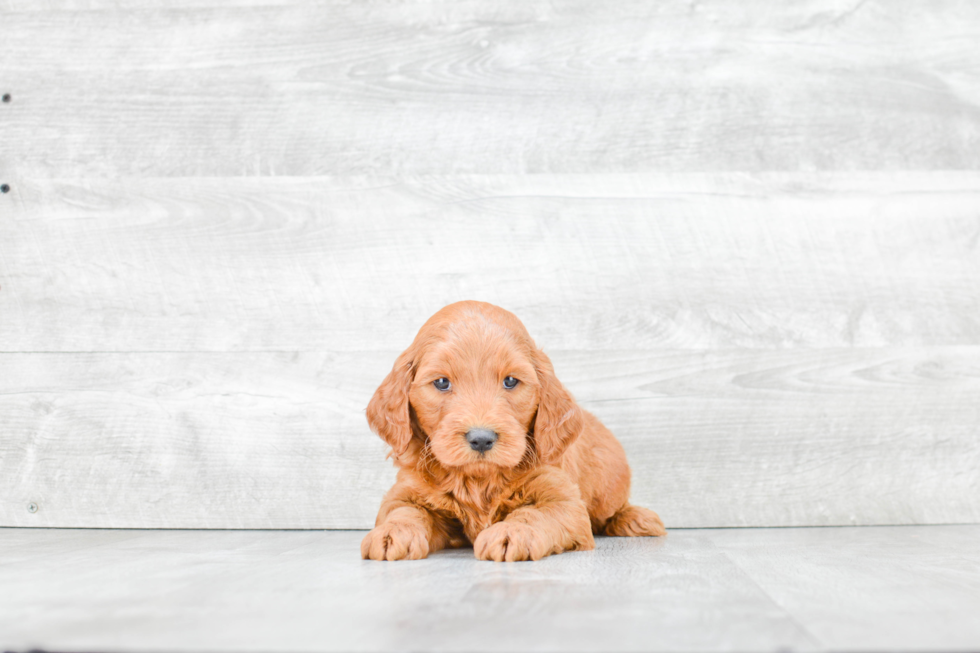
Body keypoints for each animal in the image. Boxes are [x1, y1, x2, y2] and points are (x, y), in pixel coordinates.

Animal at [360, 300, 668, 560]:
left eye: (510, 381)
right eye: (442, 383)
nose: (481, 439)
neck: (478, 481)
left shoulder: (562, 498)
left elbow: (535, 514)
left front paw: (511, 532)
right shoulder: (406, 491)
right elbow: (403, 510)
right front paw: (391, 533)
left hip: (607, 489)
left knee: (612, 510)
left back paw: (636, 518)